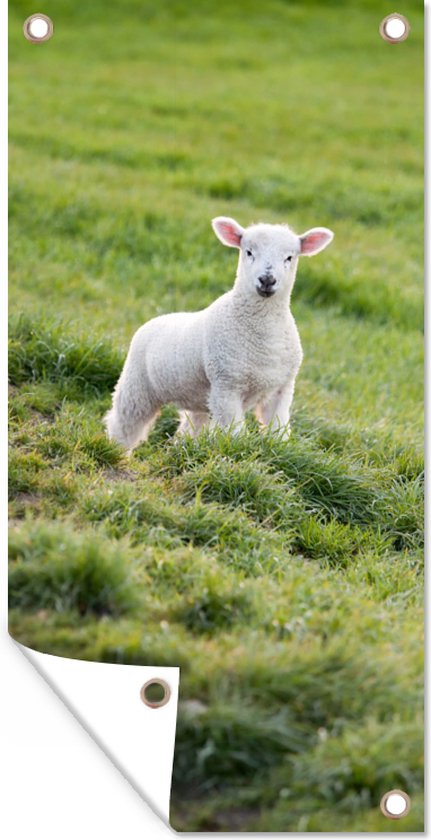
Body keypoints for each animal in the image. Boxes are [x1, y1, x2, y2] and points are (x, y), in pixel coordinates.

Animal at [105, 217, 334, 451]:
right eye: (248, 252)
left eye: (289, 257)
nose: (267, 280)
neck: (264, 334)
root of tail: (153, 321)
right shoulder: (226, 386)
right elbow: (236, 434)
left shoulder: (281, 389)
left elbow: (278, 431)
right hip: (137, 385)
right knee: (124, 423)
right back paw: (116, 451)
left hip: (198, 397)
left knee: (191, 426)